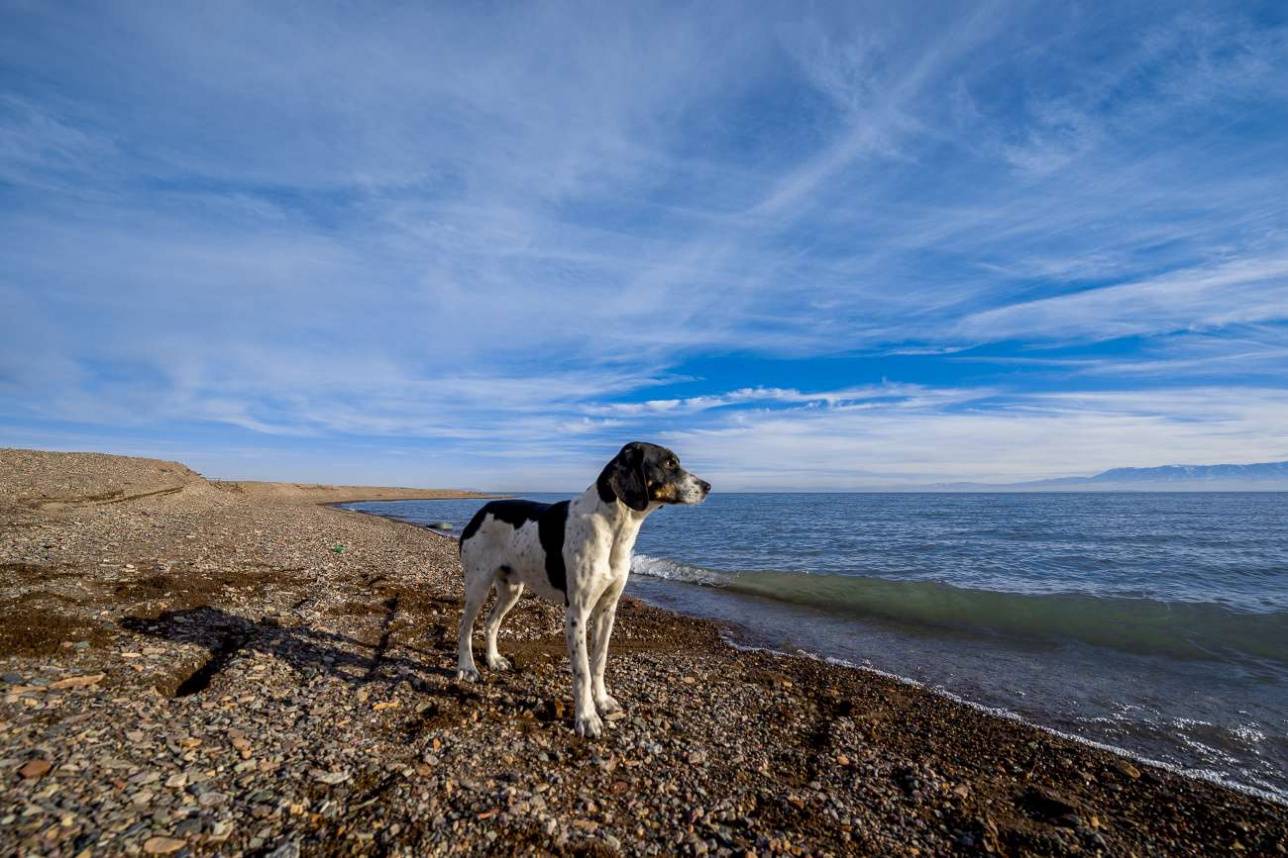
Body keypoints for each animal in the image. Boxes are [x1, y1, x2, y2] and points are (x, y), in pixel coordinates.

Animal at [458, 440, 710, 736]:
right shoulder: (577, 613)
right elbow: (582, 671)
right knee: (465, 627)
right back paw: (467, 668)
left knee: (491, 622)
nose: (708, 486)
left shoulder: (607, 610)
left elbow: (598, 661)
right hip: (478, 586)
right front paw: (587, 717)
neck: (613, 528)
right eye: (669, 463)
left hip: (512, 589)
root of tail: (480, 511)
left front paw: (602, 702)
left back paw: (493, 659)